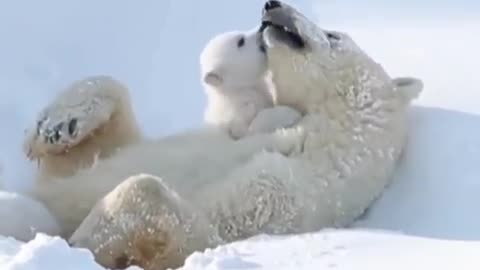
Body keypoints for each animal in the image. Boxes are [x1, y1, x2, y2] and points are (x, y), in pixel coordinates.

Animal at [33, 2, 420, 270]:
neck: (323, 141)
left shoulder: (276, 200)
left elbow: (181, 222)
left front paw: (78, 243)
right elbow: (92, 151)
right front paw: (59, 125)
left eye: (333, 35)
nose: (272, 4)